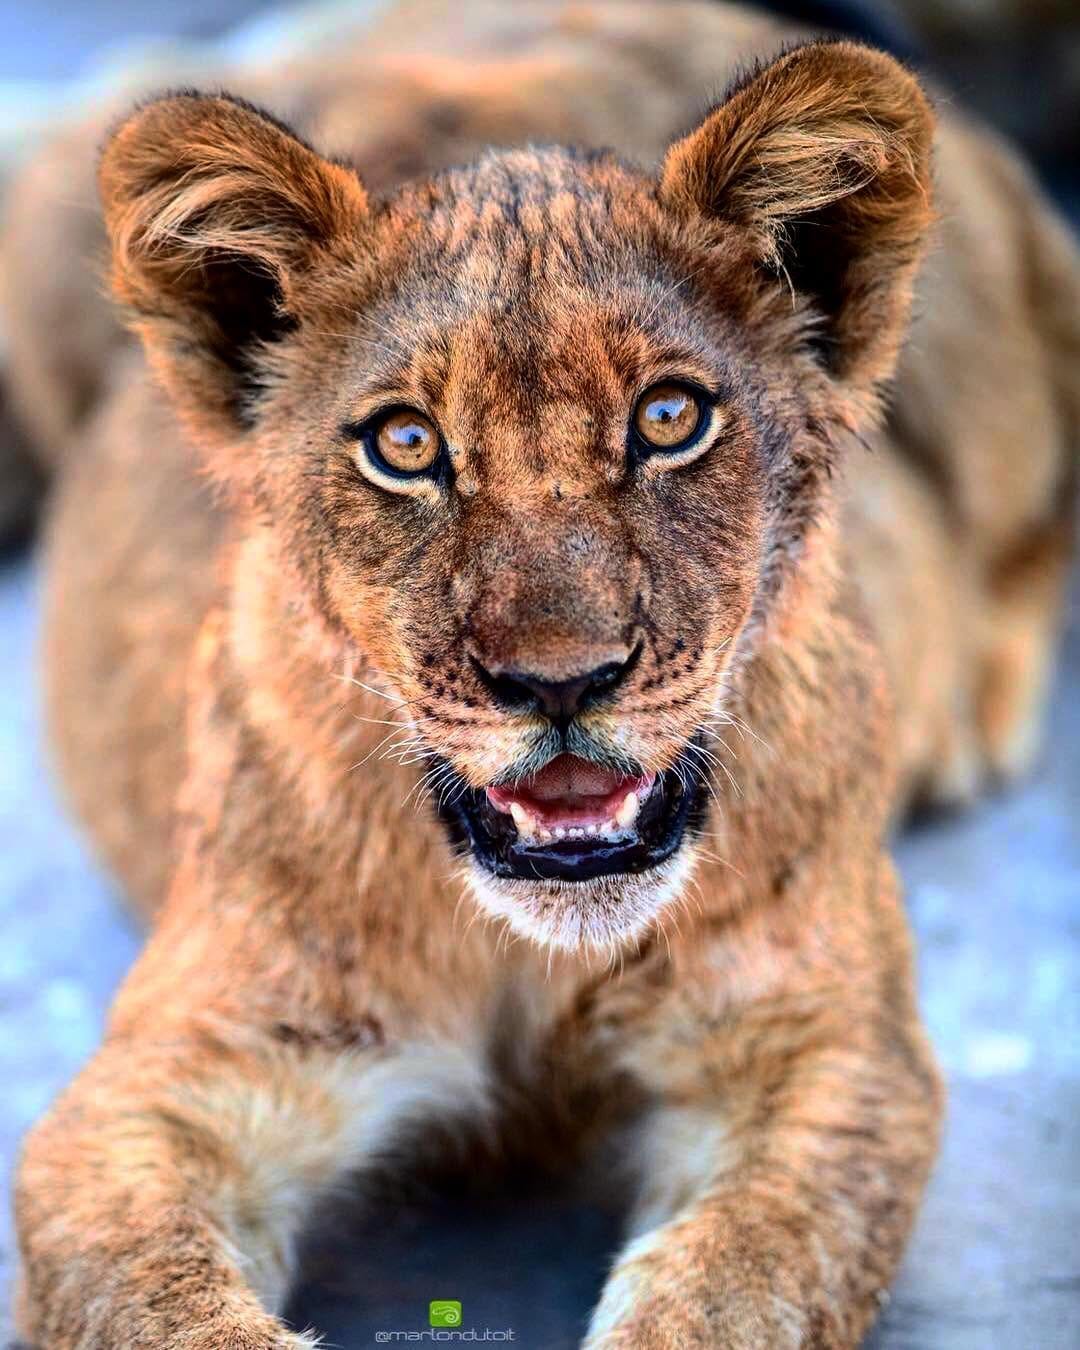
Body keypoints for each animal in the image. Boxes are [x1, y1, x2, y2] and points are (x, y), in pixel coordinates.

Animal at [3, 2, 1077, 1346]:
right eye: (406, 445)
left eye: (669, 420)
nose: (562, 683)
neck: (527, 965)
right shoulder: (167, 1082)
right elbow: (166, 1305)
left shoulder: (824, 1055)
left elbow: (725, 1295)